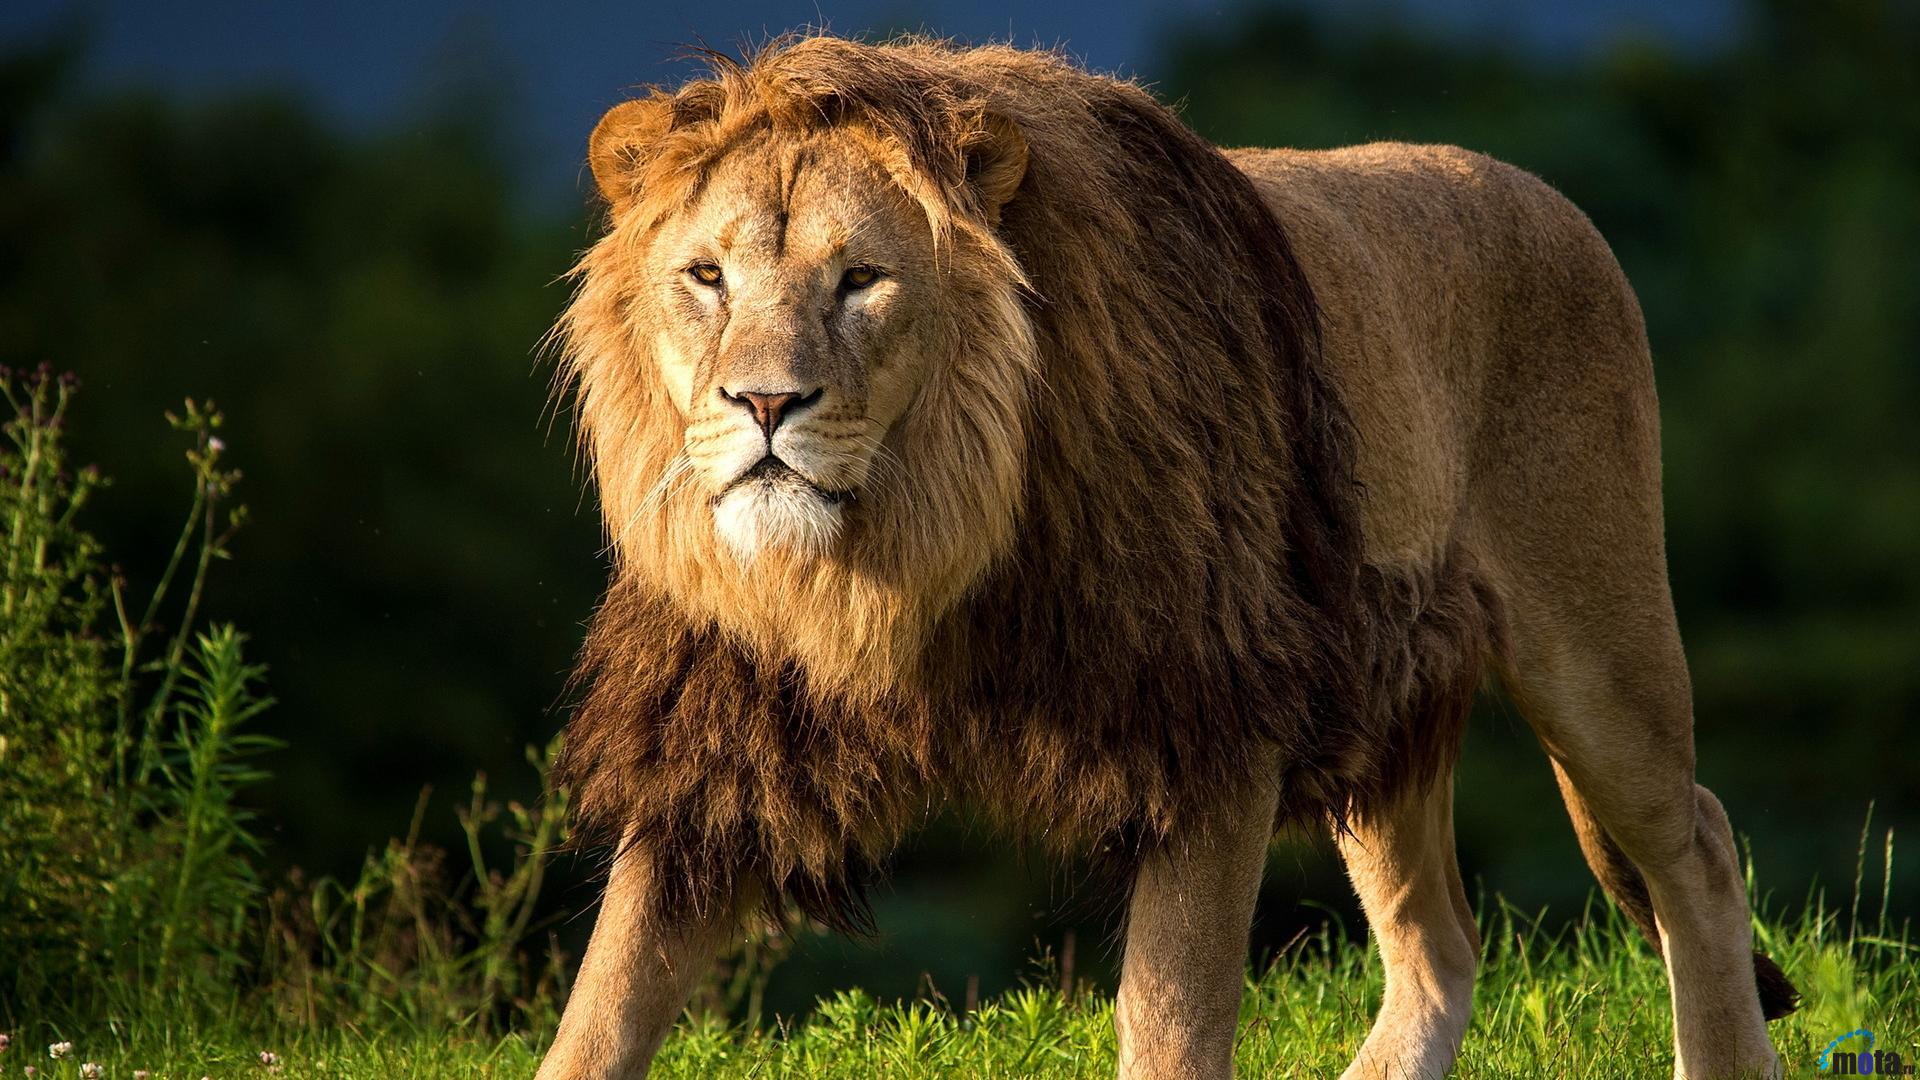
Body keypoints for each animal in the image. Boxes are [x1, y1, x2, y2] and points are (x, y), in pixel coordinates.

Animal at [537, 36, 1797, 1080]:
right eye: (706, 278)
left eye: (863, 280)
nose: (763, 403)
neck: (898, 552)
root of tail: (1544, 192)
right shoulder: (714, 736)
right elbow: (603, 1005)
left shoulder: (1210, 717)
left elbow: (1171, 1020)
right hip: (1378, 684)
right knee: (1441, 940)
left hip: (1596, 650)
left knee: (1697, 846)